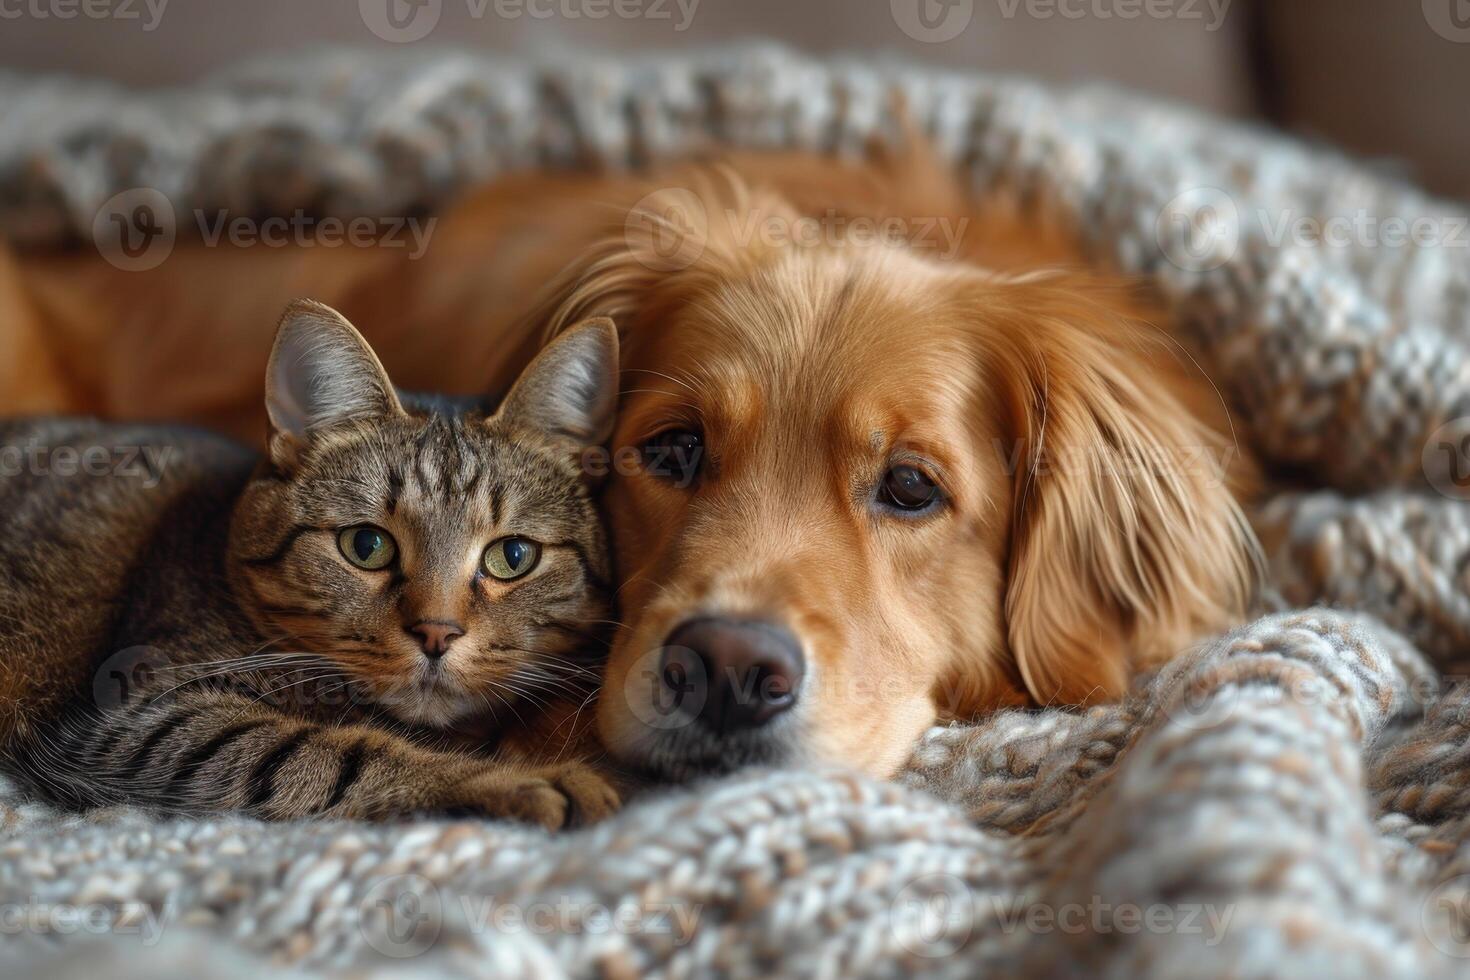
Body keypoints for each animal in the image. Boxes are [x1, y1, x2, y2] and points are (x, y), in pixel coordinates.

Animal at [0, 299, 623, 828]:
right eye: (366, 546)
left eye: (512, 557)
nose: (437, 633)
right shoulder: (138, 720)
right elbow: (328, 754)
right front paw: (519, 782)